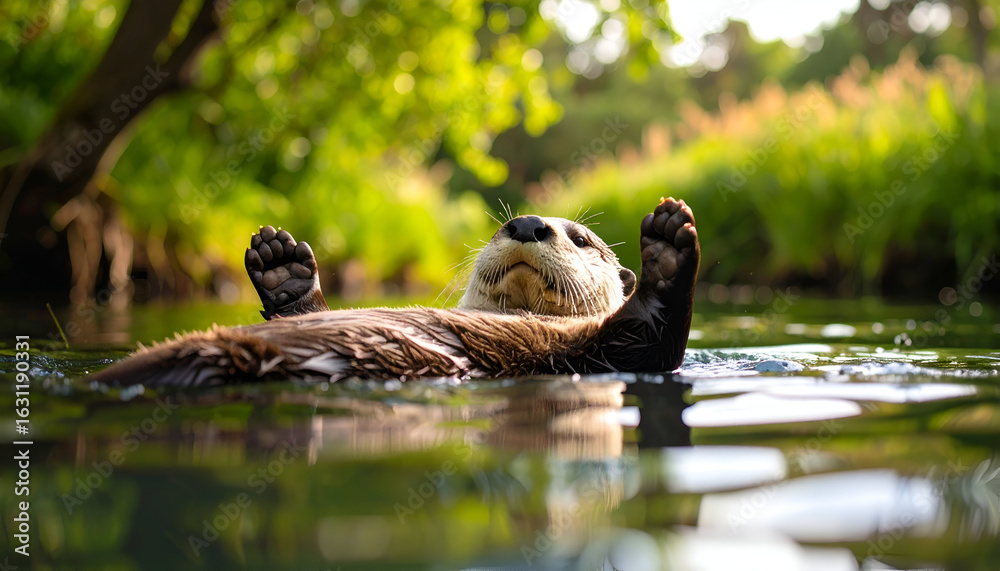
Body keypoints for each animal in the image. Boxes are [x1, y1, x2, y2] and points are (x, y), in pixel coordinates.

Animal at [90, 197, 699, 387]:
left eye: (583, 239)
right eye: (503, 228)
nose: (527, 224)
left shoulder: (589, 353)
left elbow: (650, 340)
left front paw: (668, 249)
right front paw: (283, 268)